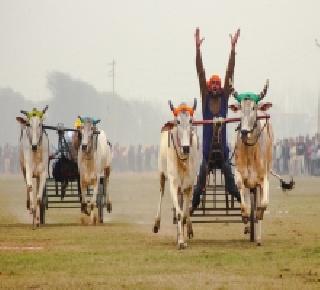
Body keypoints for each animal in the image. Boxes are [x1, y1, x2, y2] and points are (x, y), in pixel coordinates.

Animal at [153, 99, 200, 249]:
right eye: (178, 121)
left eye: (191, 120)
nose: (185, 148)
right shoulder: (173, 183)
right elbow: (179, 213)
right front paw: (180, 242)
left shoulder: (189, 185)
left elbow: (184, 214)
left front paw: (183, 238)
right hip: (162, 175)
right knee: (161, 193)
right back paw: (157, 224)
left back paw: (188, 230)